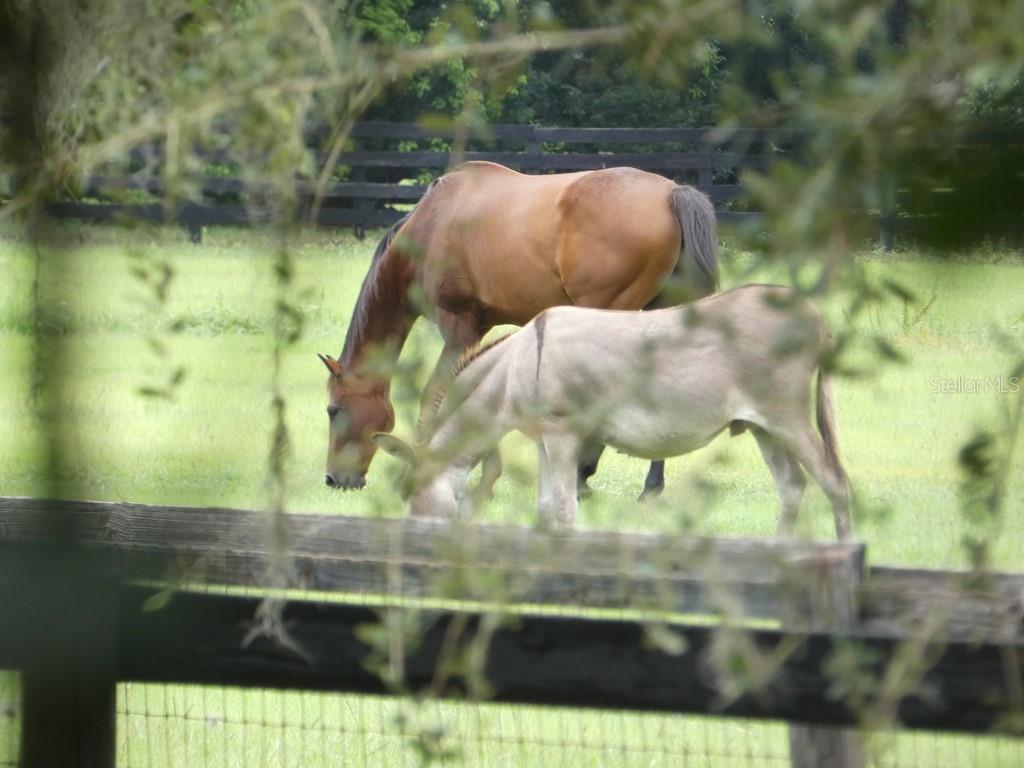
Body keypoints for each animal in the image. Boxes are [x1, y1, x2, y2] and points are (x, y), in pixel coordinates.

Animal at [319, 160, 719, 497]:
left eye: (333, 410)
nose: (334, 479)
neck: (432, 225)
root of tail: (671, 192)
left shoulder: (459, 330)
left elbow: (439, 393)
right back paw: (648, 486)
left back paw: (581, 477)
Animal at [373, 284, 853, 540]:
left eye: (407, 491)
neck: (516, 366)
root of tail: (812, 312)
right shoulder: (546, 439)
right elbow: (546, 510)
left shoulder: (563, 435)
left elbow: (564, 510)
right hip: (762, 426)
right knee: (792, 487)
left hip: (788, 417)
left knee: (835, 483)